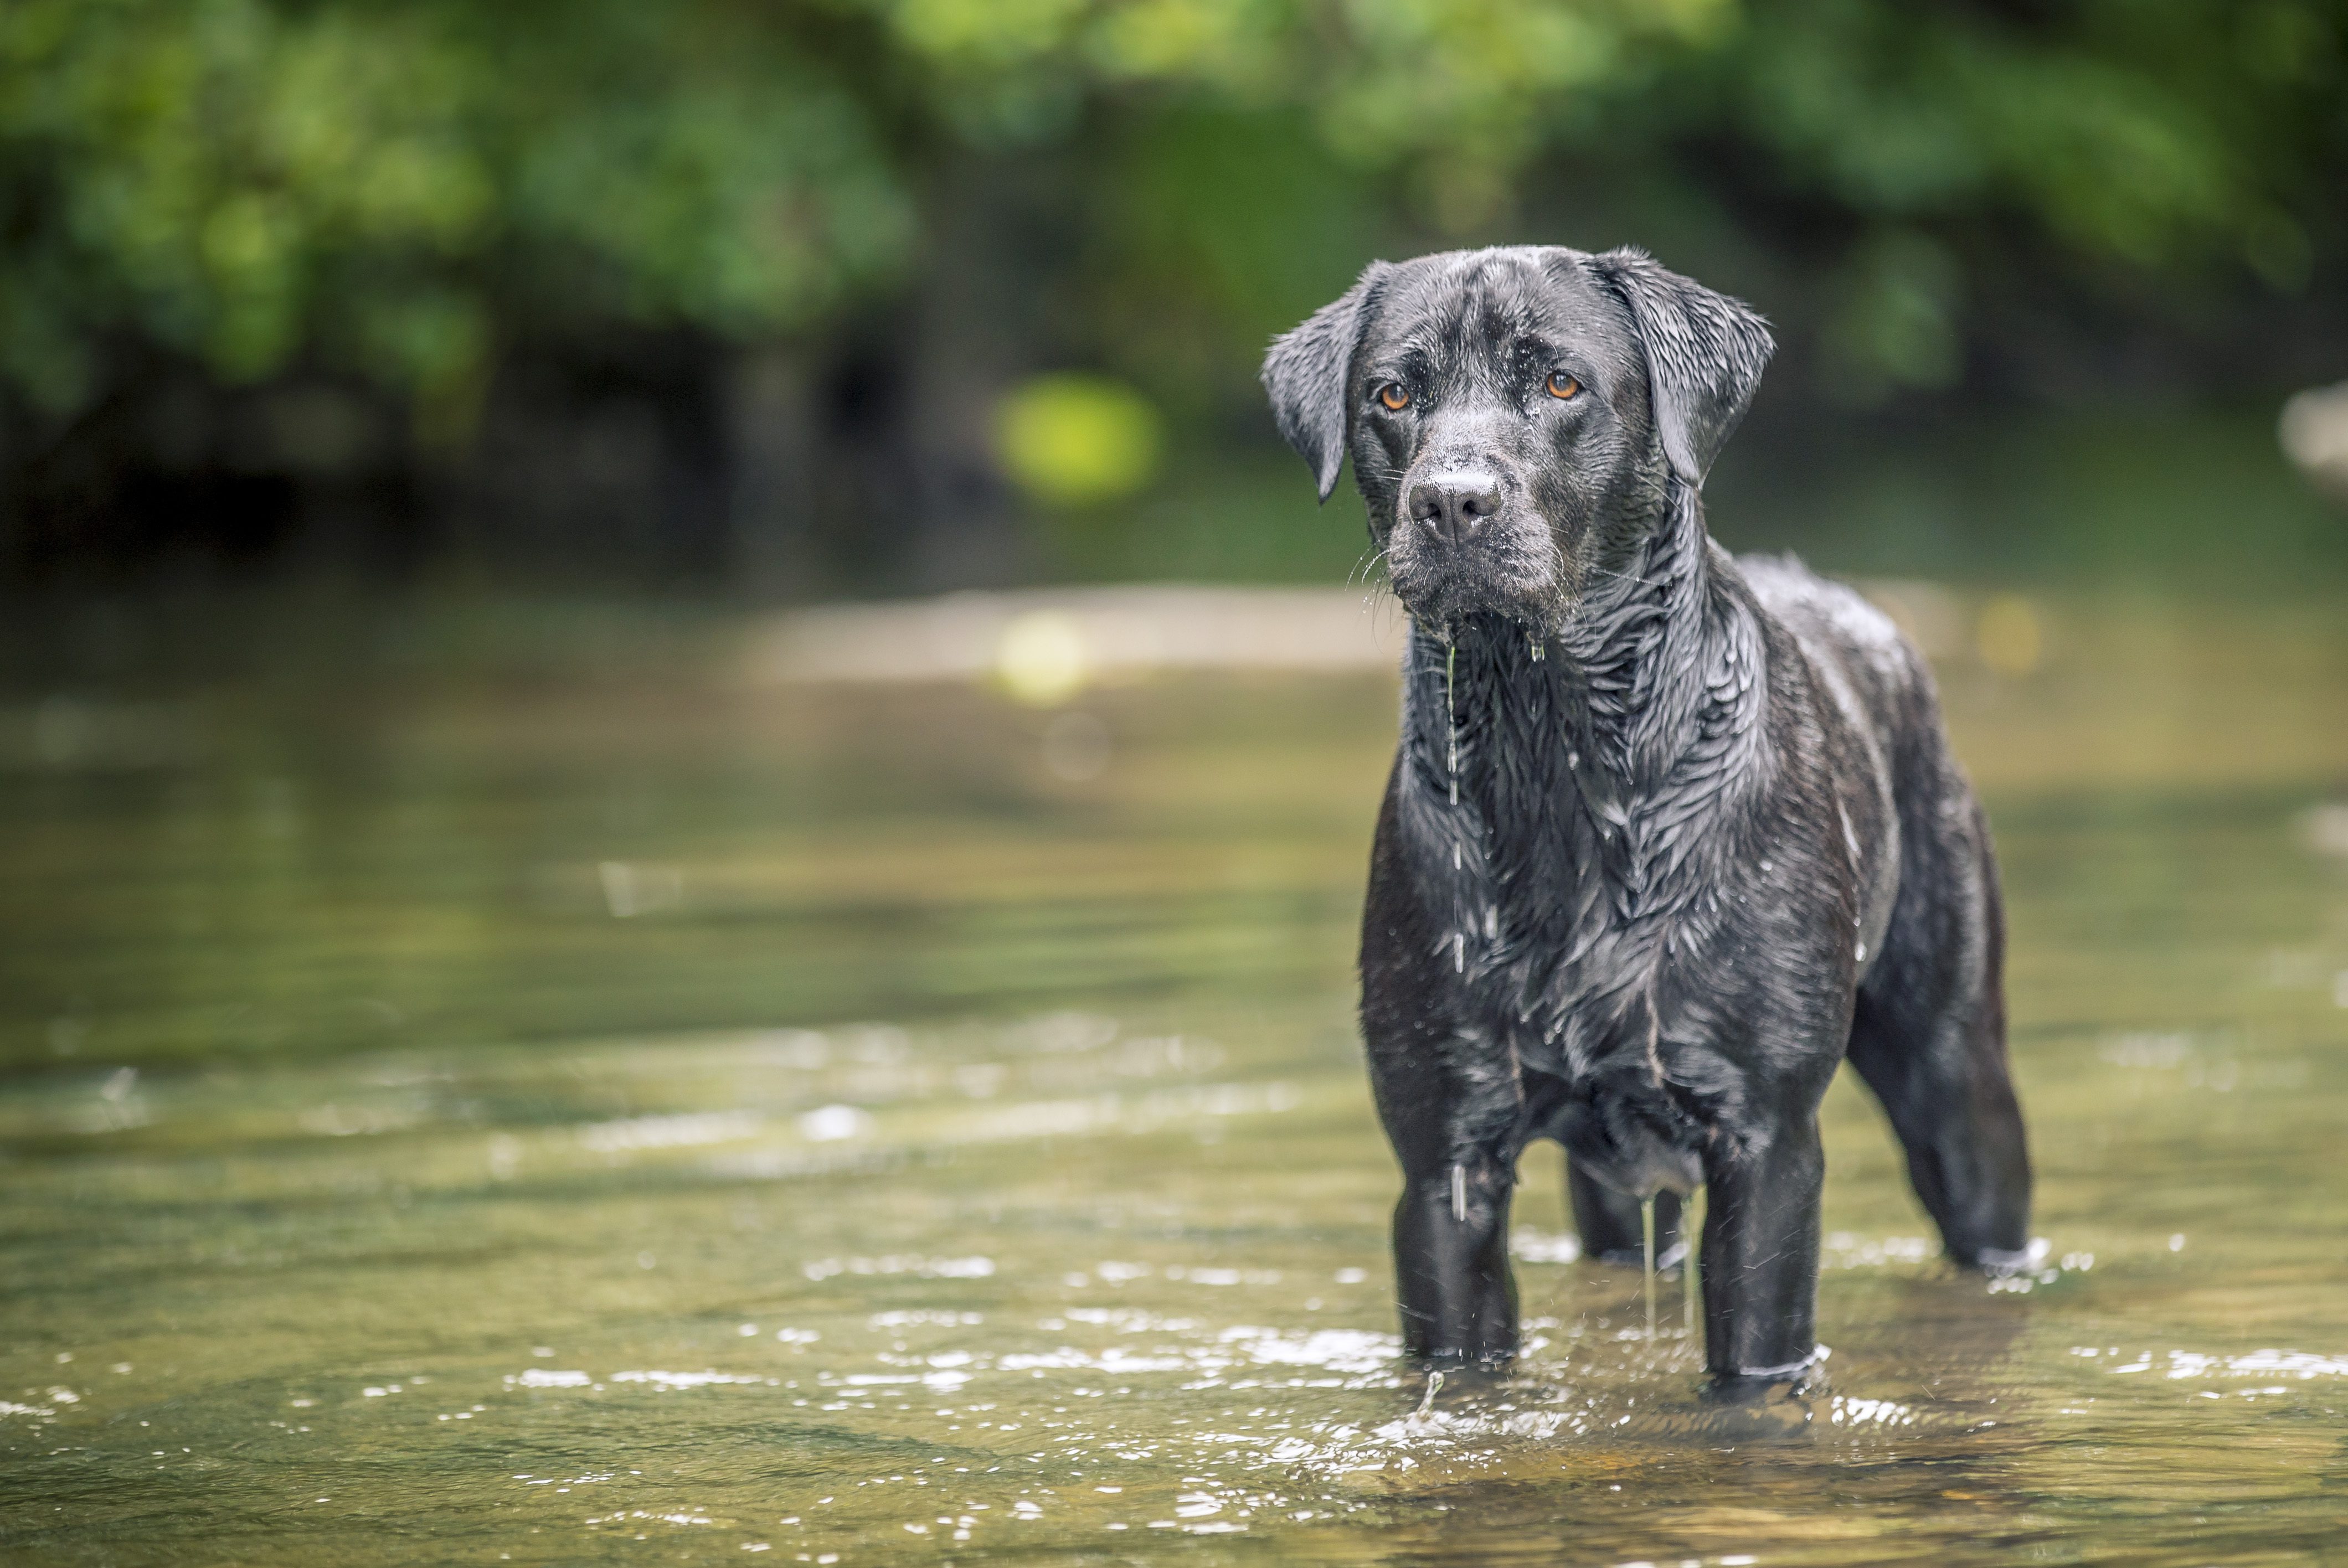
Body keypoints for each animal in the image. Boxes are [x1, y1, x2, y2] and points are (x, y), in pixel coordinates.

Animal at [1268, 239, 2038, 1380]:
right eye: (1393, 395)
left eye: (1561, 383)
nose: (1451, 502)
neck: (1555, 755)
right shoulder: (1445, 1161)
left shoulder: (1765, 1143)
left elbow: (1750, 1373)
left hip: (1956, 1074)